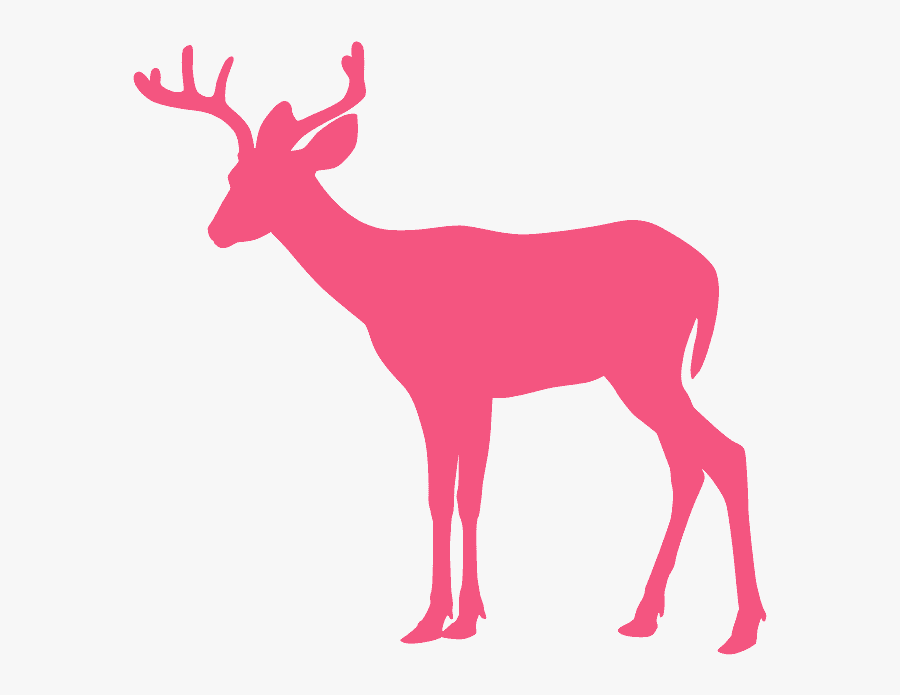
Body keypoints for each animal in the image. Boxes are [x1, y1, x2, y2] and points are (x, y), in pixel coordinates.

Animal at [134, 41, 766, 654]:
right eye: (234, 174)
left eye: (276, 179)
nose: (216, 230)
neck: (383, 286)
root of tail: (709, 272)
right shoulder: (444, 392)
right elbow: (445, 495)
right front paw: (446, 618)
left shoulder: (461, 385)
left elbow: (463, 496)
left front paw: (453, 619)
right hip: (642, 375)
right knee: (689, 463)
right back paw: (645, 617)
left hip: (645, 367)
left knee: (724, 454)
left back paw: (741, 627)